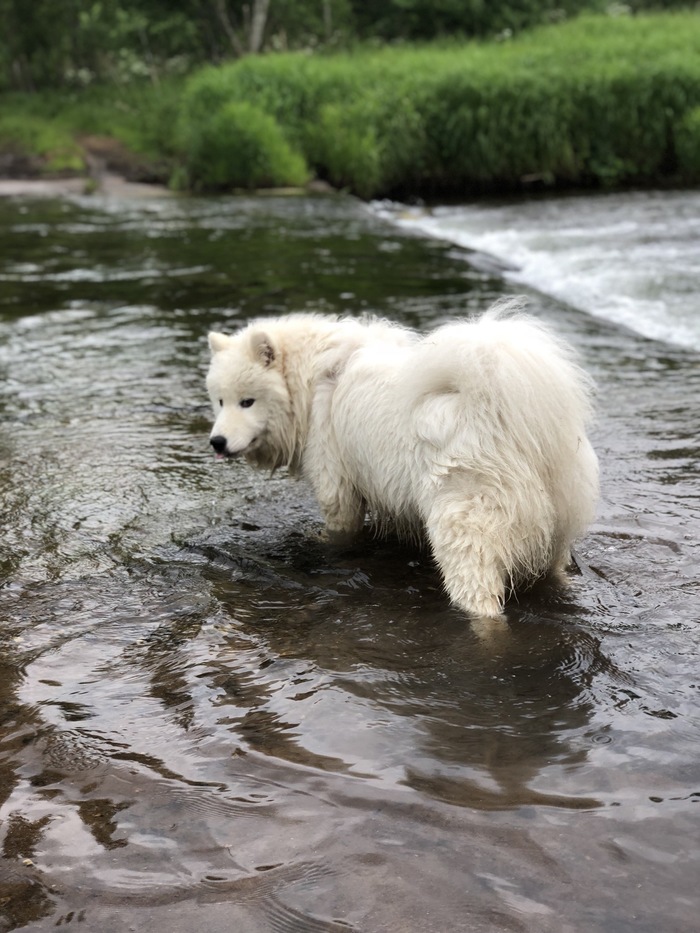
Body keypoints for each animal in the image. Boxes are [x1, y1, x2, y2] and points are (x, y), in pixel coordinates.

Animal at [205, 300, 600, 620]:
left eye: (247, 401)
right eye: (220, 401)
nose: (216, 442)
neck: (311, 382)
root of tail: (500, 409)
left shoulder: (336, 484)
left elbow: (339, 527)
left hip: (465, 526)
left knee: (482, 602)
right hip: (556, 527)